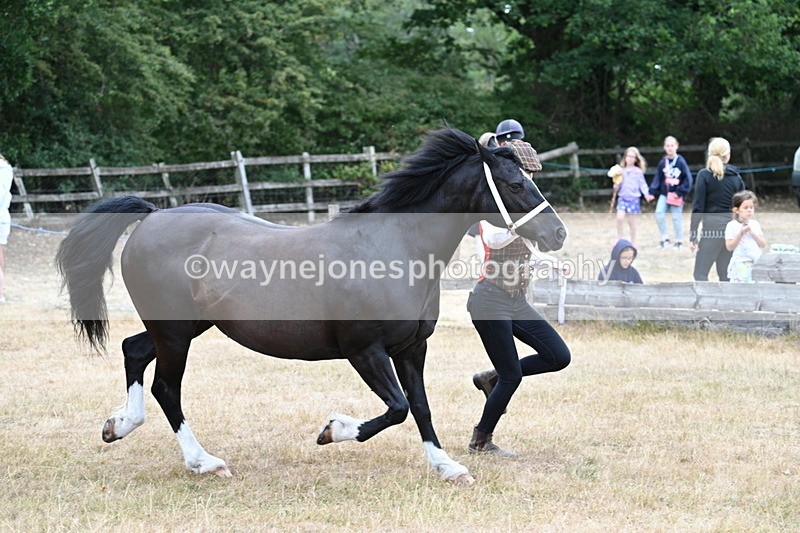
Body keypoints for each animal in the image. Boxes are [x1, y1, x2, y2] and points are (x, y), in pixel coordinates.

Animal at [56, 127, 567, 485]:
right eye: (513, 183)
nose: (558, 234)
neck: (393, 248)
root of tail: (154, 215)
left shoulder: (411, 348)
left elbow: (420, 406)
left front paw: (447, 467)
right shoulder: (365, 351)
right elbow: (397, 407)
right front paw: (332, 430)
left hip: (186, 326)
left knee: (133, 350)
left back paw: (119, 425)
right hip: (176, 333)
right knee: (166, 387)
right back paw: (204, 462)